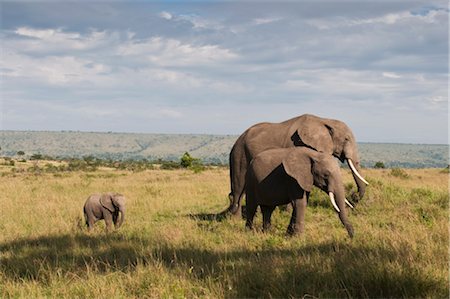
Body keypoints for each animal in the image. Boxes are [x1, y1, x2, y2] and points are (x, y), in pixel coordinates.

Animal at [229, 113, 370, 216]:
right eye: (346, 139)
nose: (354, 197)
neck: (324, 120)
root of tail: (237, 140)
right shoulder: (295, 145)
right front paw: (288, 213)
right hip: (239, 154)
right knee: (239, 188)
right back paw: (235, 219)